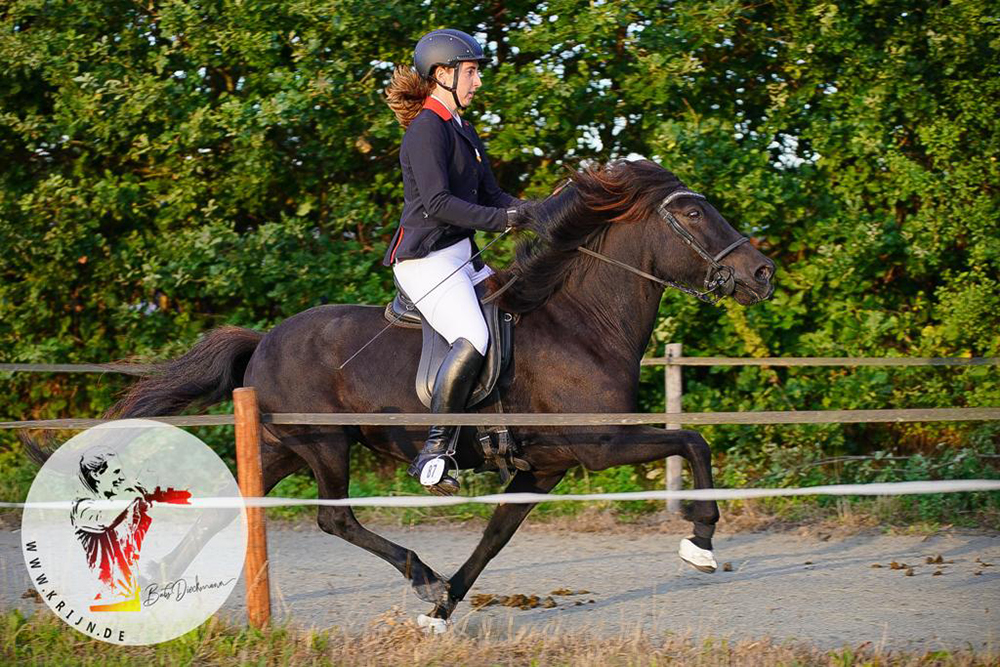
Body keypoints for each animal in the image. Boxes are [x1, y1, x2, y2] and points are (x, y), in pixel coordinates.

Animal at [54, 159, 776, 628]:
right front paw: (701, 542)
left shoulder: (543, 466)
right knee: (334, 518)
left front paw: (444, 610)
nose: (763, 273)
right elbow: (693, 439)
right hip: (325, 445)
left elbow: (495, 537)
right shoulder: (598, 445)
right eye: (691, 212)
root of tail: (262, 342)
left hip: (283, 446)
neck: (580, 322)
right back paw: (419, 571)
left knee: (231, 505)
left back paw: (158, 583)